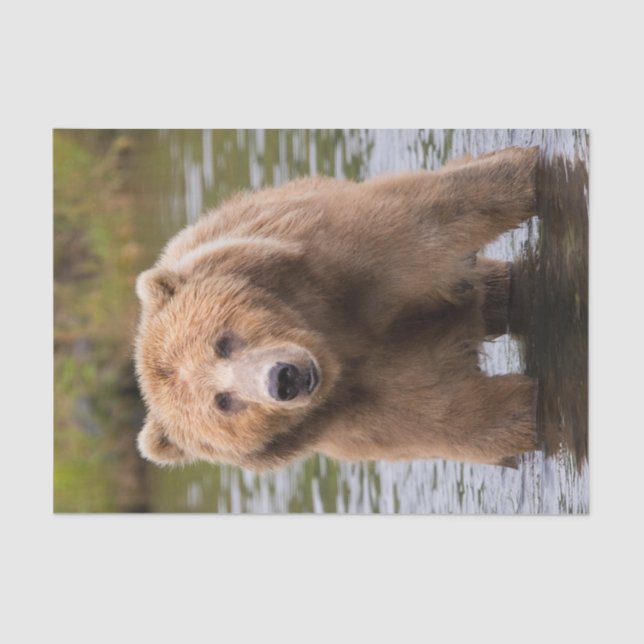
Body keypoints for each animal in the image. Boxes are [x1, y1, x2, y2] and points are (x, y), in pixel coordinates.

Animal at [134, 146, 539, 471]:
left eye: (223, 342)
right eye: (224, 402)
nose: (283, 379)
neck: (329, 338)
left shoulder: (338, 260)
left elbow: (426, 219)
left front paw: (526, 171)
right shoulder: (355, 411)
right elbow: (459, 415)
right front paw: (523, 412)